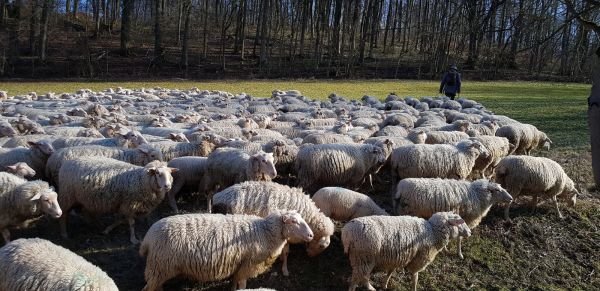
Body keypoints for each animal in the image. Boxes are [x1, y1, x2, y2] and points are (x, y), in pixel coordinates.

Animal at [138, 211, 312, 291]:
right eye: (294, 221)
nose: (311, 235)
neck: (264, 232)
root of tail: (147, 238)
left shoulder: (238, 264)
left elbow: (234, 281)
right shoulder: (247, 265)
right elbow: (242, 284)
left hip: (160, 268)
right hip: (159, 266)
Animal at [340, 212, 472, 291]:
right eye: (460, 222)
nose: (470, 232)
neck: (433, 232)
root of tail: (347, 233)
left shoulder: (397, 257)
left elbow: (390, 272)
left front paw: (385, 284)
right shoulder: (419, 260)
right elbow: (415, 277)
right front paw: (414, 288)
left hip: (361, 258)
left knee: (363, 276)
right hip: (364, 257)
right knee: (358, 277)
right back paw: (364, 288)